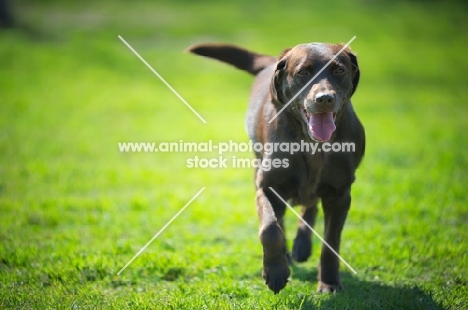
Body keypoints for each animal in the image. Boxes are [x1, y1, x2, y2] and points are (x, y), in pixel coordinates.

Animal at [188, 41, 364, 294]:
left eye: (339, 70)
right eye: (303, 72)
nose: (324, 98)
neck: (310, 144)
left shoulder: (340, 194)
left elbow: (331, 241)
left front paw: (329, 283)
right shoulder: (268, 187)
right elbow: (270, 228)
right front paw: (276, 271)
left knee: (309, 204)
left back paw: (301, 246)